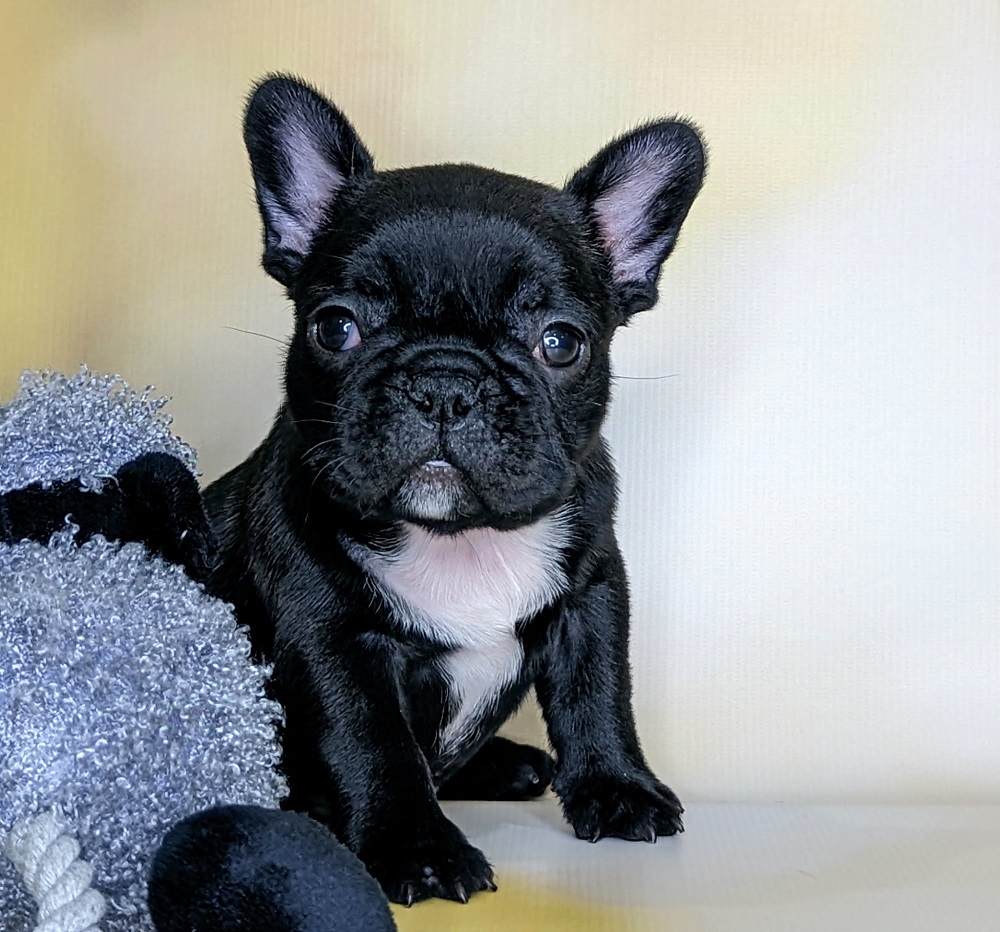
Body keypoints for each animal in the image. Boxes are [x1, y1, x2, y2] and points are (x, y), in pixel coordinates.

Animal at [205, 74, 705, 906]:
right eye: (335, 327)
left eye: (561, 342)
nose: (444, 381)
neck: (459, 536)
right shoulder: (332, 634)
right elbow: (374, 743)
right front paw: (420, 849)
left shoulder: (592, 591)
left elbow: (599, 692)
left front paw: (618, 788)